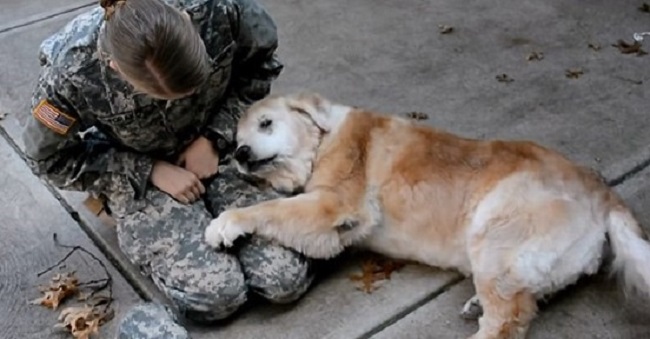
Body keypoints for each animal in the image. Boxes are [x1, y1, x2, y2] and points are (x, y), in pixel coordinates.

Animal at [205, 91, 648, 338]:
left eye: (266, 123)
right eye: (237, 138)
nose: (240, 154)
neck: (322, 141)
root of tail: (603, 193)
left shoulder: (334, 206)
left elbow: (268, 207)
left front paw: (226, 223)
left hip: (493, 230)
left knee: (508, 321)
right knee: (525, 299)